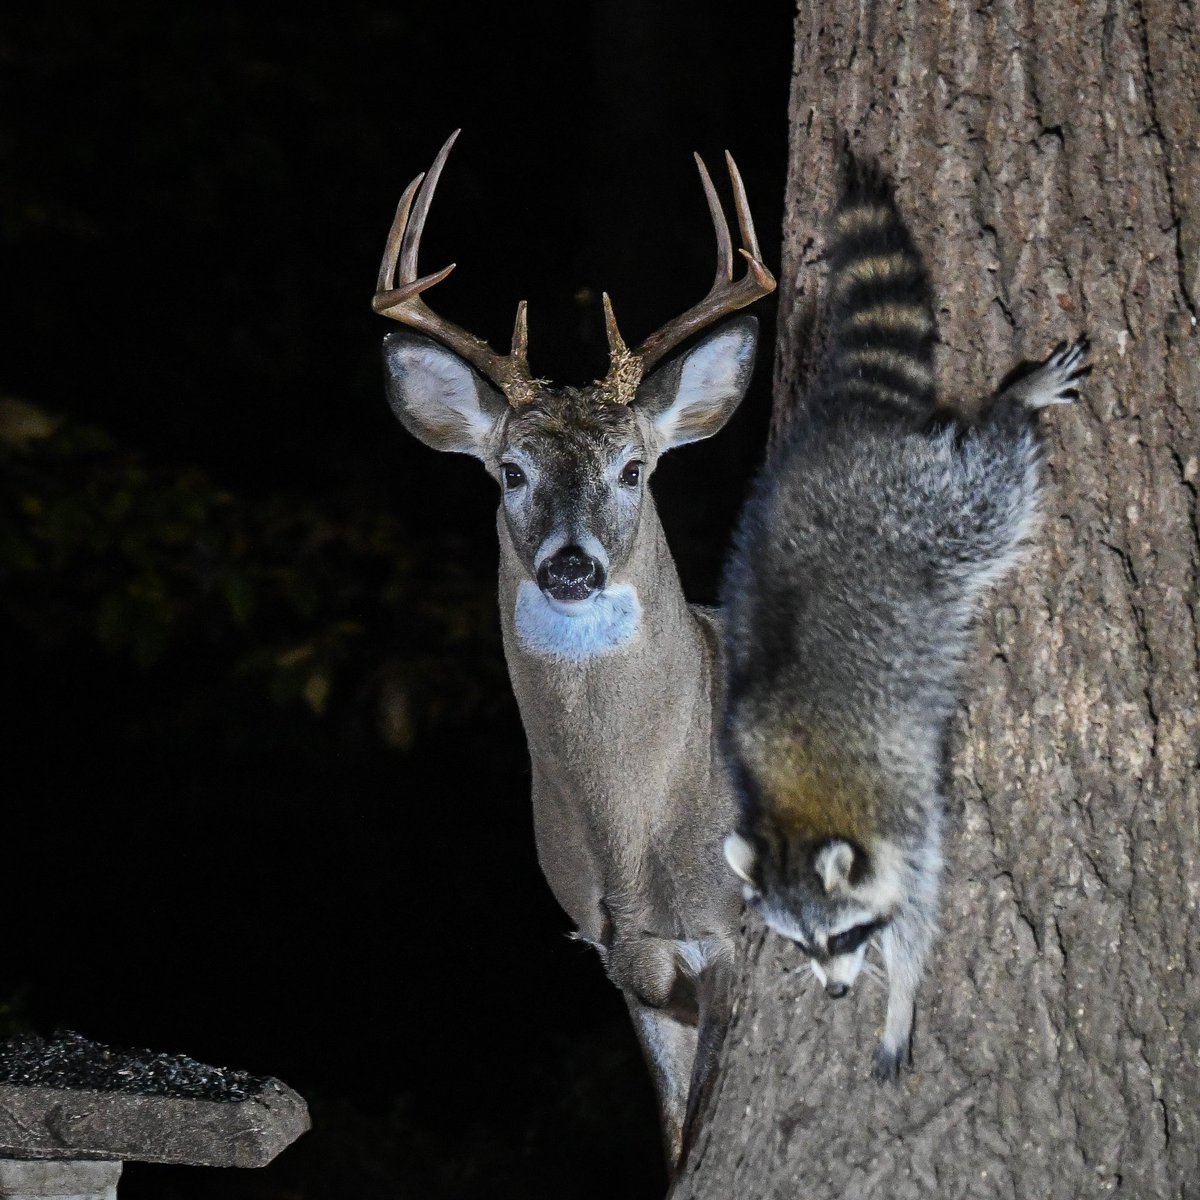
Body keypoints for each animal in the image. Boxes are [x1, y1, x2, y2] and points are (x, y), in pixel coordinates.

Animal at [369, 133, 772, 1171]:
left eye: (633, 469)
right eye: (511, 471)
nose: (571, 567)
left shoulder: (726, 932)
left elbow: (702, 1126)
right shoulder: (622, 962)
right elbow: (673, 1138)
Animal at [715, 154, 1094, 1084]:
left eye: (844, 933)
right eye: (800, 946)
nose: (834, 994)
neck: (794, 816)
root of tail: (836, 430)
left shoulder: (901, 808)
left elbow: (923, 894)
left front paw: (902, 989)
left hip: (912, 512)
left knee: (987, 496)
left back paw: (1015, 402)